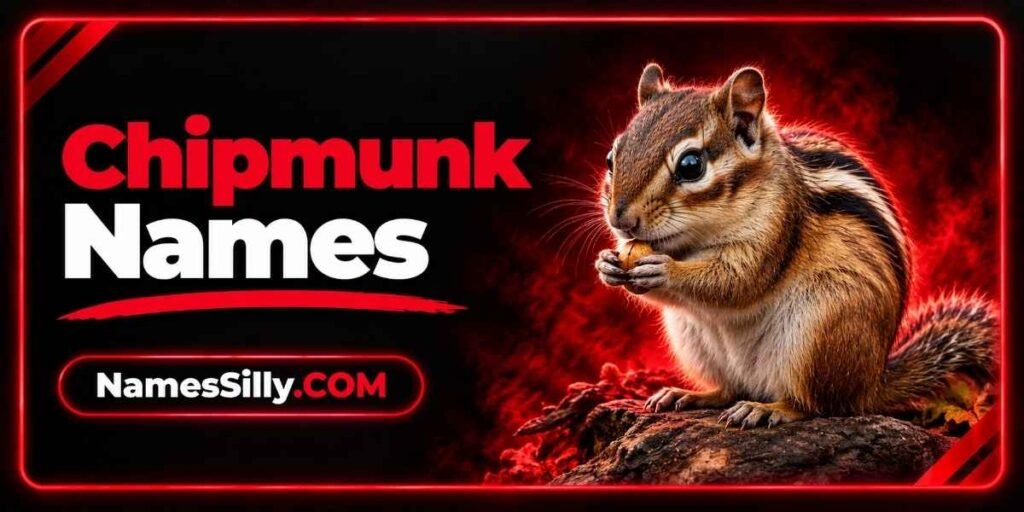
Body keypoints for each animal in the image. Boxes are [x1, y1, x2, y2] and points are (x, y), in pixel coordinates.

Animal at [595, 63, 997, 428]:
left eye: (691, 165)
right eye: (611, 159)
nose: (620, 219)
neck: (697, 237)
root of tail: (872, 383)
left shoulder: (777, 227)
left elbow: (738, 281)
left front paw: (664, 270)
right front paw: (607, 264)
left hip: (817, 331)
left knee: (818, 404)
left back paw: (768, 409)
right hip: (693, 340)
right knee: (730, 388)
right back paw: (691, 394)